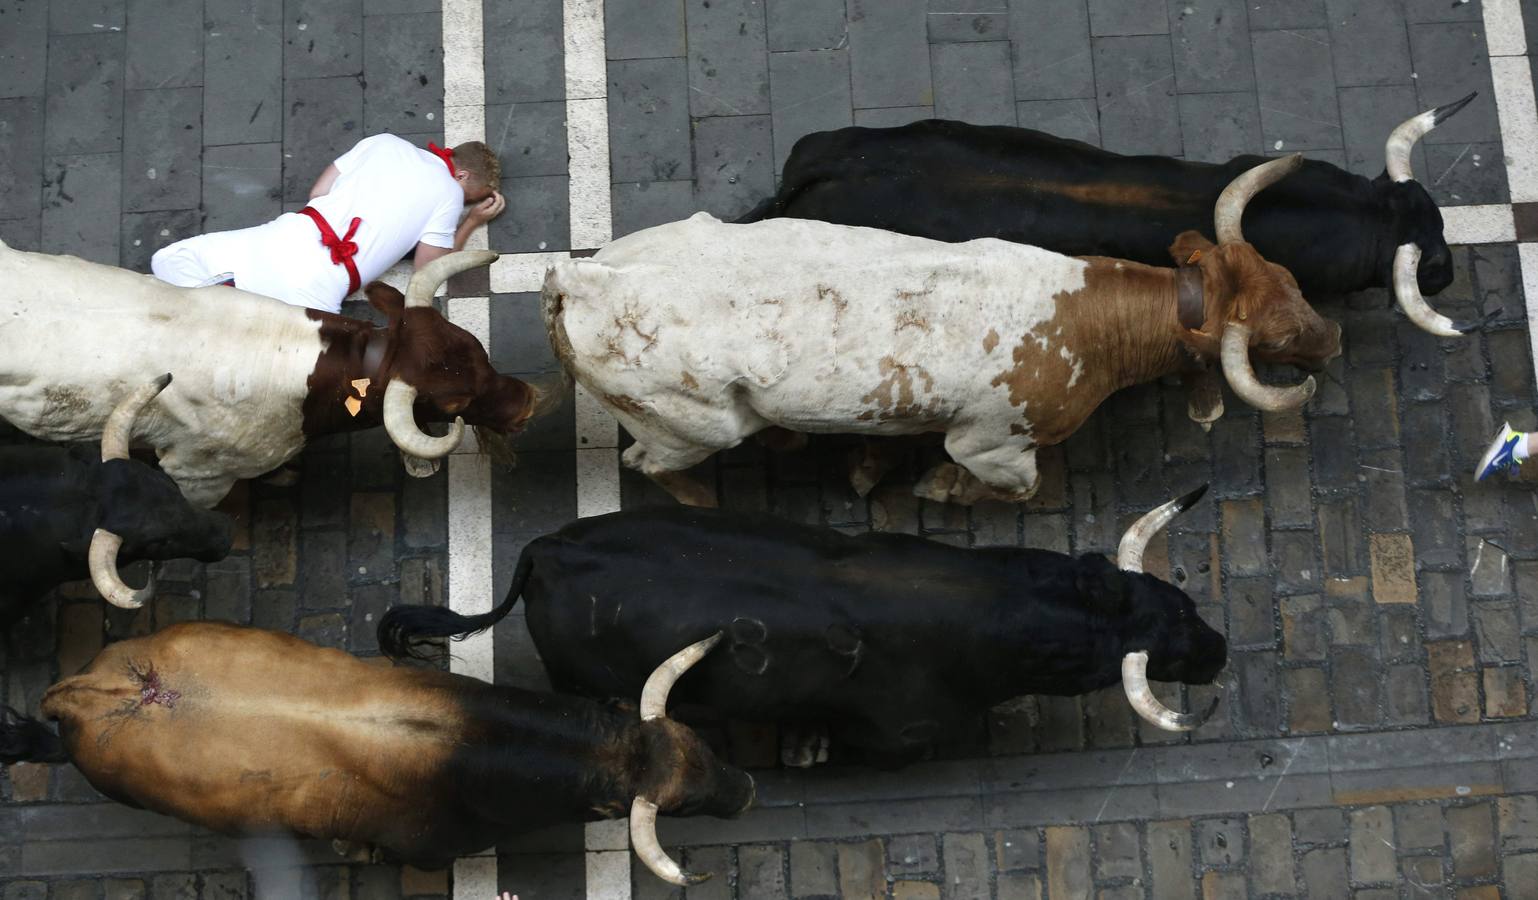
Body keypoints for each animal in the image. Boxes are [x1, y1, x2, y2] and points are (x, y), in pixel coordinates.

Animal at [381, 498, 1224, 766]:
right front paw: (805, 747)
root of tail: (548, 548)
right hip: (587, 682)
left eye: (1176, 600)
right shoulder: (895, 735)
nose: (1216, 652)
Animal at [547, 155, 1341, 504]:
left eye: (1291, 280)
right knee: (651, 465)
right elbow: (1010, 488)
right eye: (1272, 341)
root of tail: (581, 279)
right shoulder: (993, 444)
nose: (1331, 339)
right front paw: (938, 487)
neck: (1087, 318)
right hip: (688, 428)